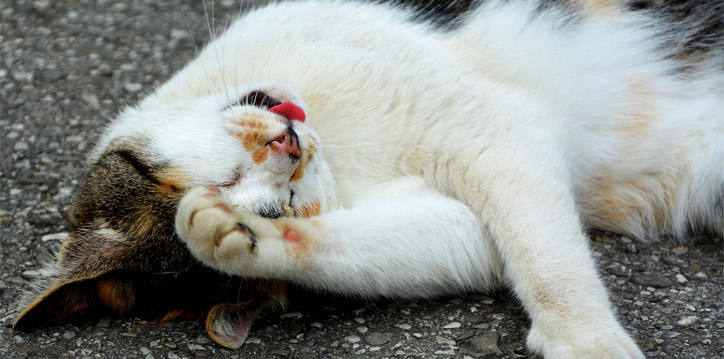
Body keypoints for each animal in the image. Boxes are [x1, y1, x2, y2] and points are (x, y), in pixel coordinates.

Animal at [14, 0, 720, 359]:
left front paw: (589, 341)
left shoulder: (494, 129)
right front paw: (232, 237)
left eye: (234, 171)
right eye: (277, 206)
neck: (343, 152)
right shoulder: (476, 202)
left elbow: (549, 260)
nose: (289, 152)